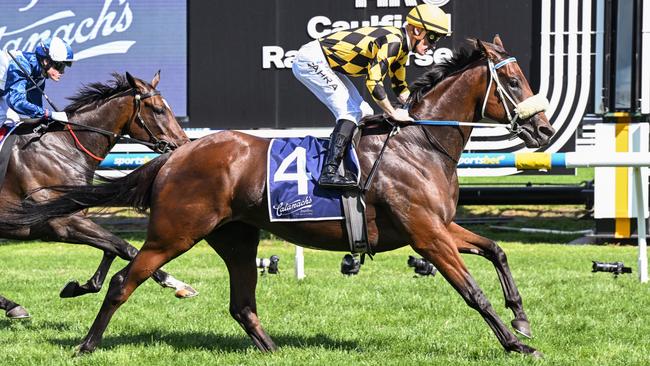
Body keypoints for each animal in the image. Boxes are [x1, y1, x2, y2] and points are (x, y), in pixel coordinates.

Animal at [0, 73, 194, 318]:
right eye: (159, 109)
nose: (184, 145)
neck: (64, 147)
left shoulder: (75, 218)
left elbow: (111, 248)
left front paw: (80, 286)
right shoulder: (60, 222)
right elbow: (126, 247)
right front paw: (177, 283)